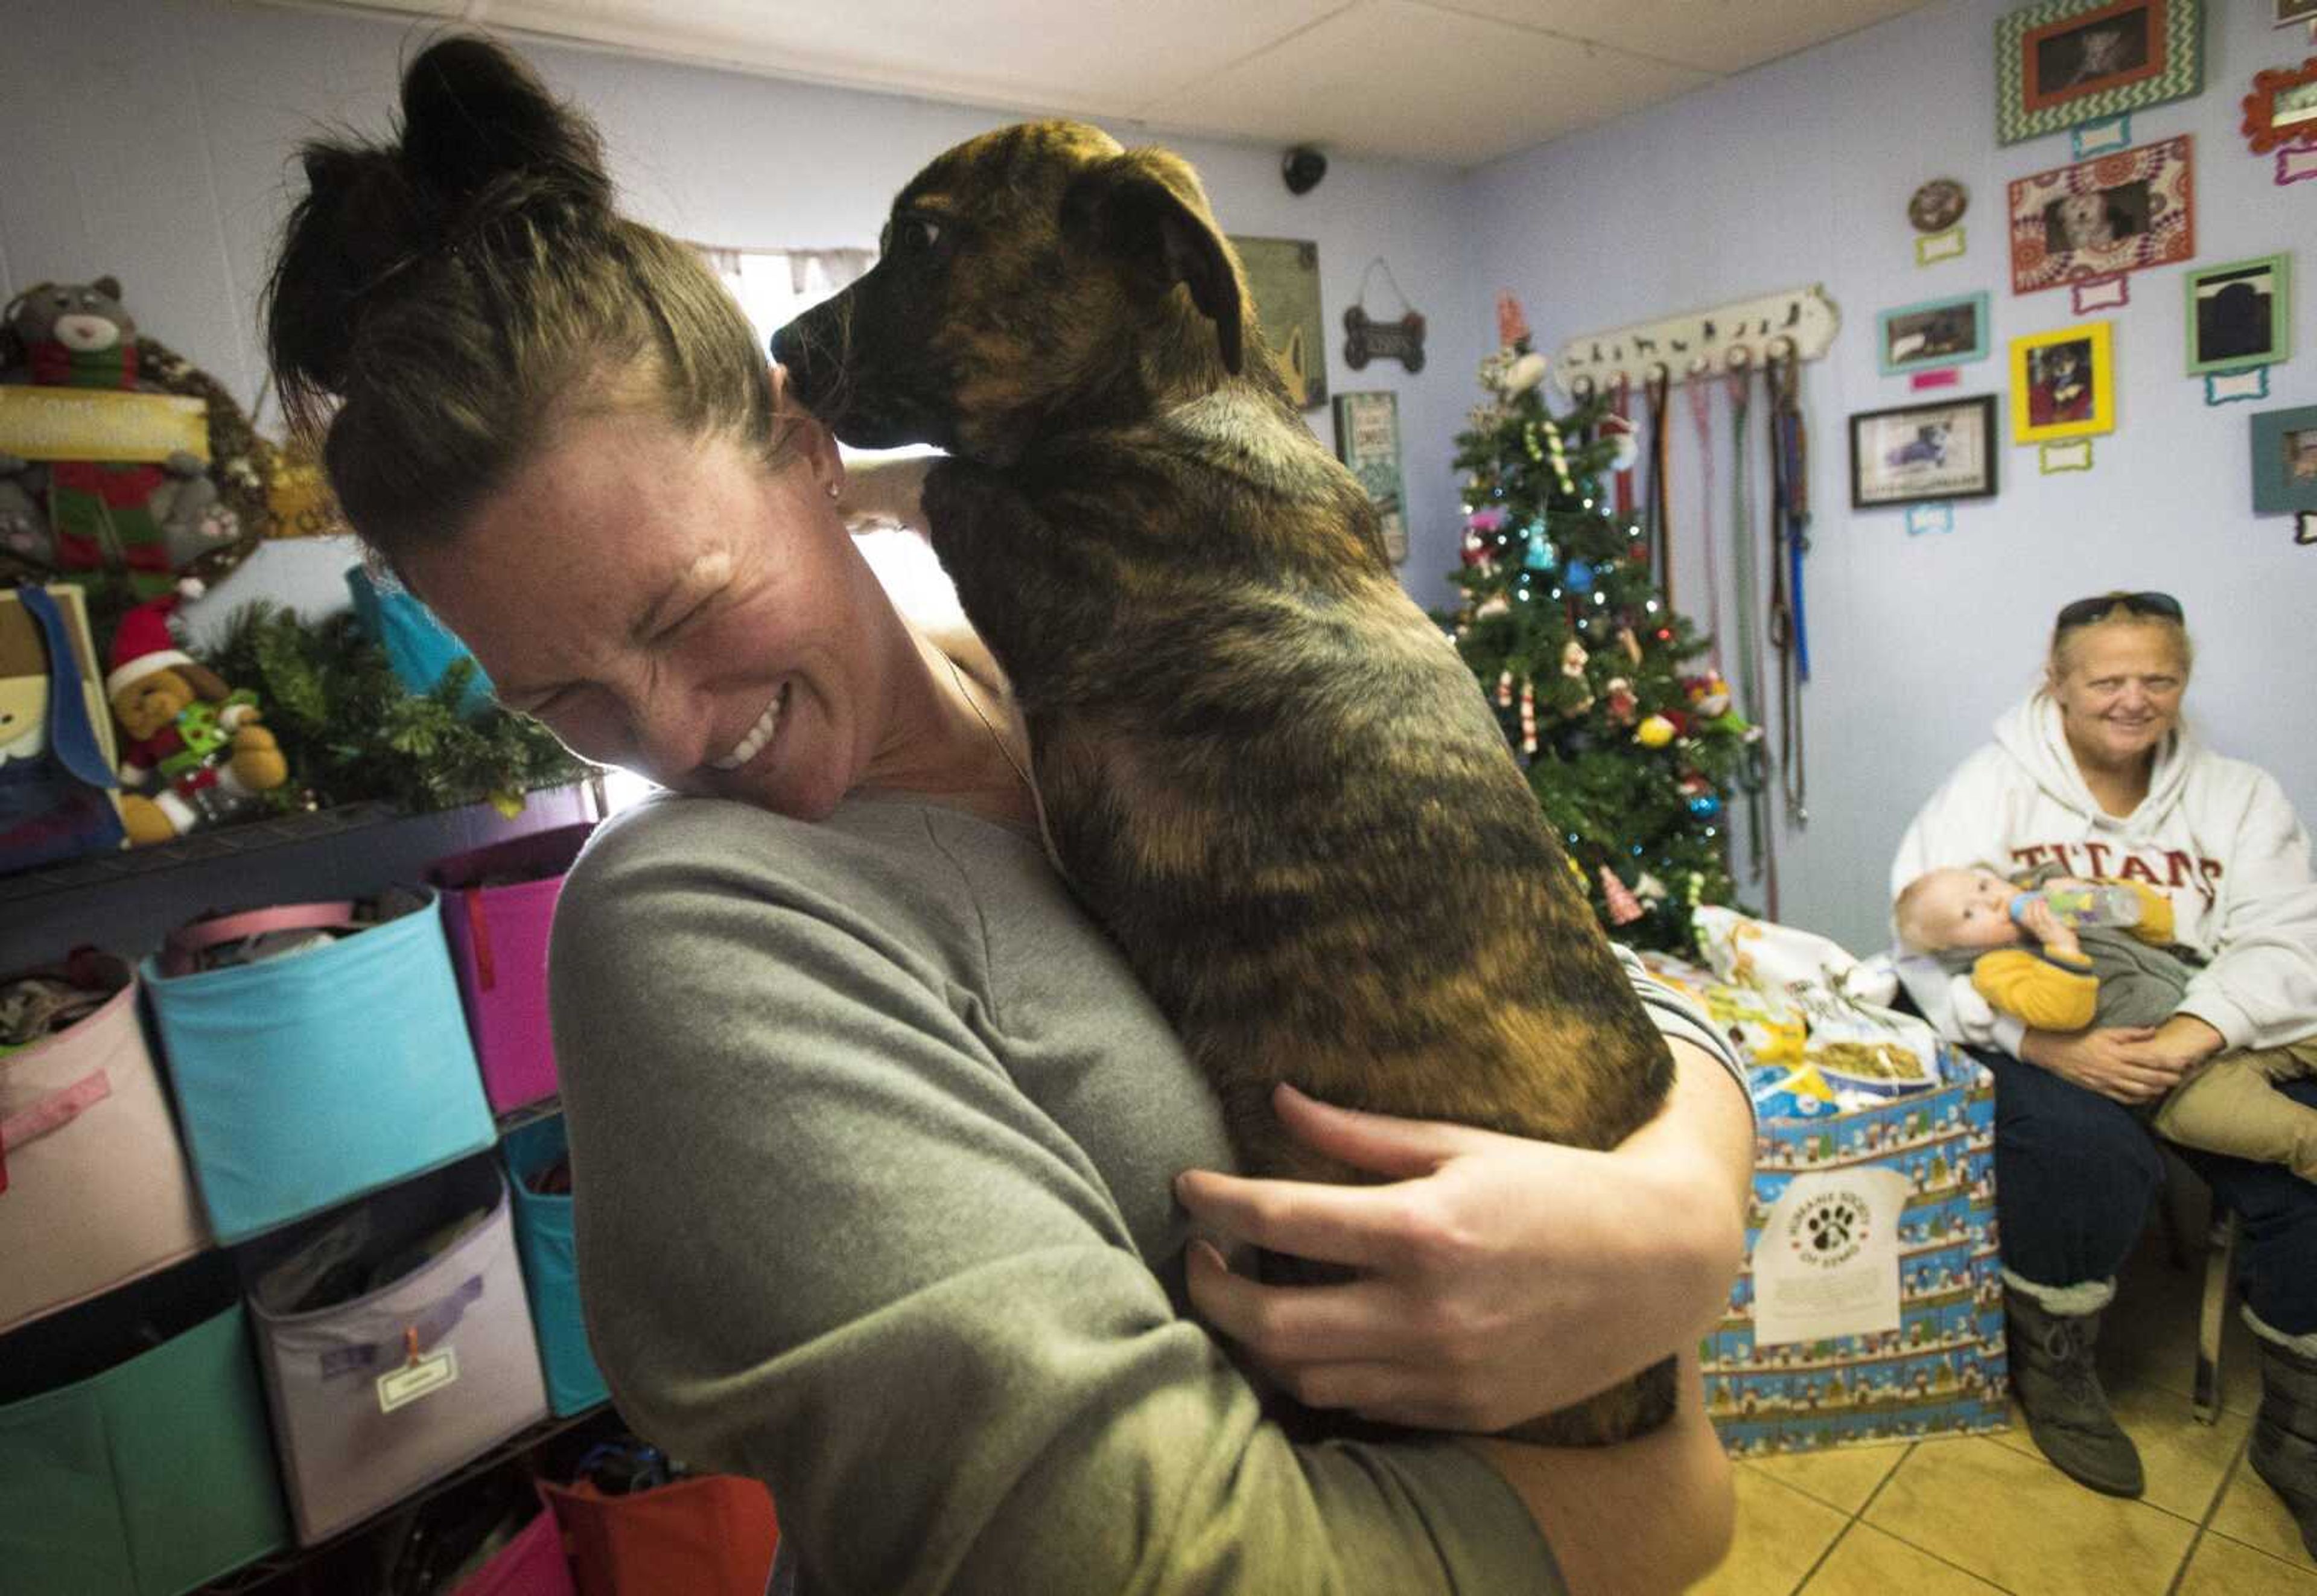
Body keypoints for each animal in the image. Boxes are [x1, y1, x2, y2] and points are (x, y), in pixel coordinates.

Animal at [769, 124, 1677, 1445]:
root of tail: (1647, 1379)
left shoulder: (1043, 555)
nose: (780, 353)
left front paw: (841, 480)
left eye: (923, 240)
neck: (1170, 399)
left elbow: (945, 474)